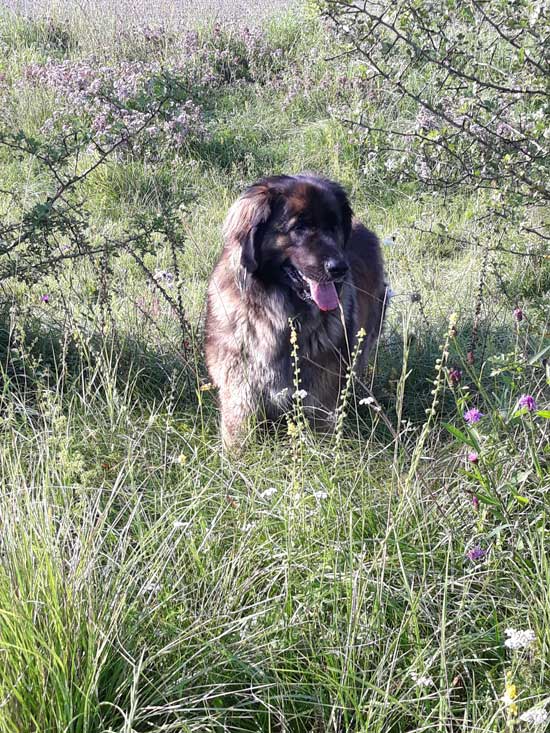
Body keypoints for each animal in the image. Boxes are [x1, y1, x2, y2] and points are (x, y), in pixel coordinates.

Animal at [205, 173, 386, 448]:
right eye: (299, 228)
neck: (278, 316)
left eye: (334, 226)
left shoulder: (320, 399)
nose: (339, 268)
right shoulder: (240, 394)